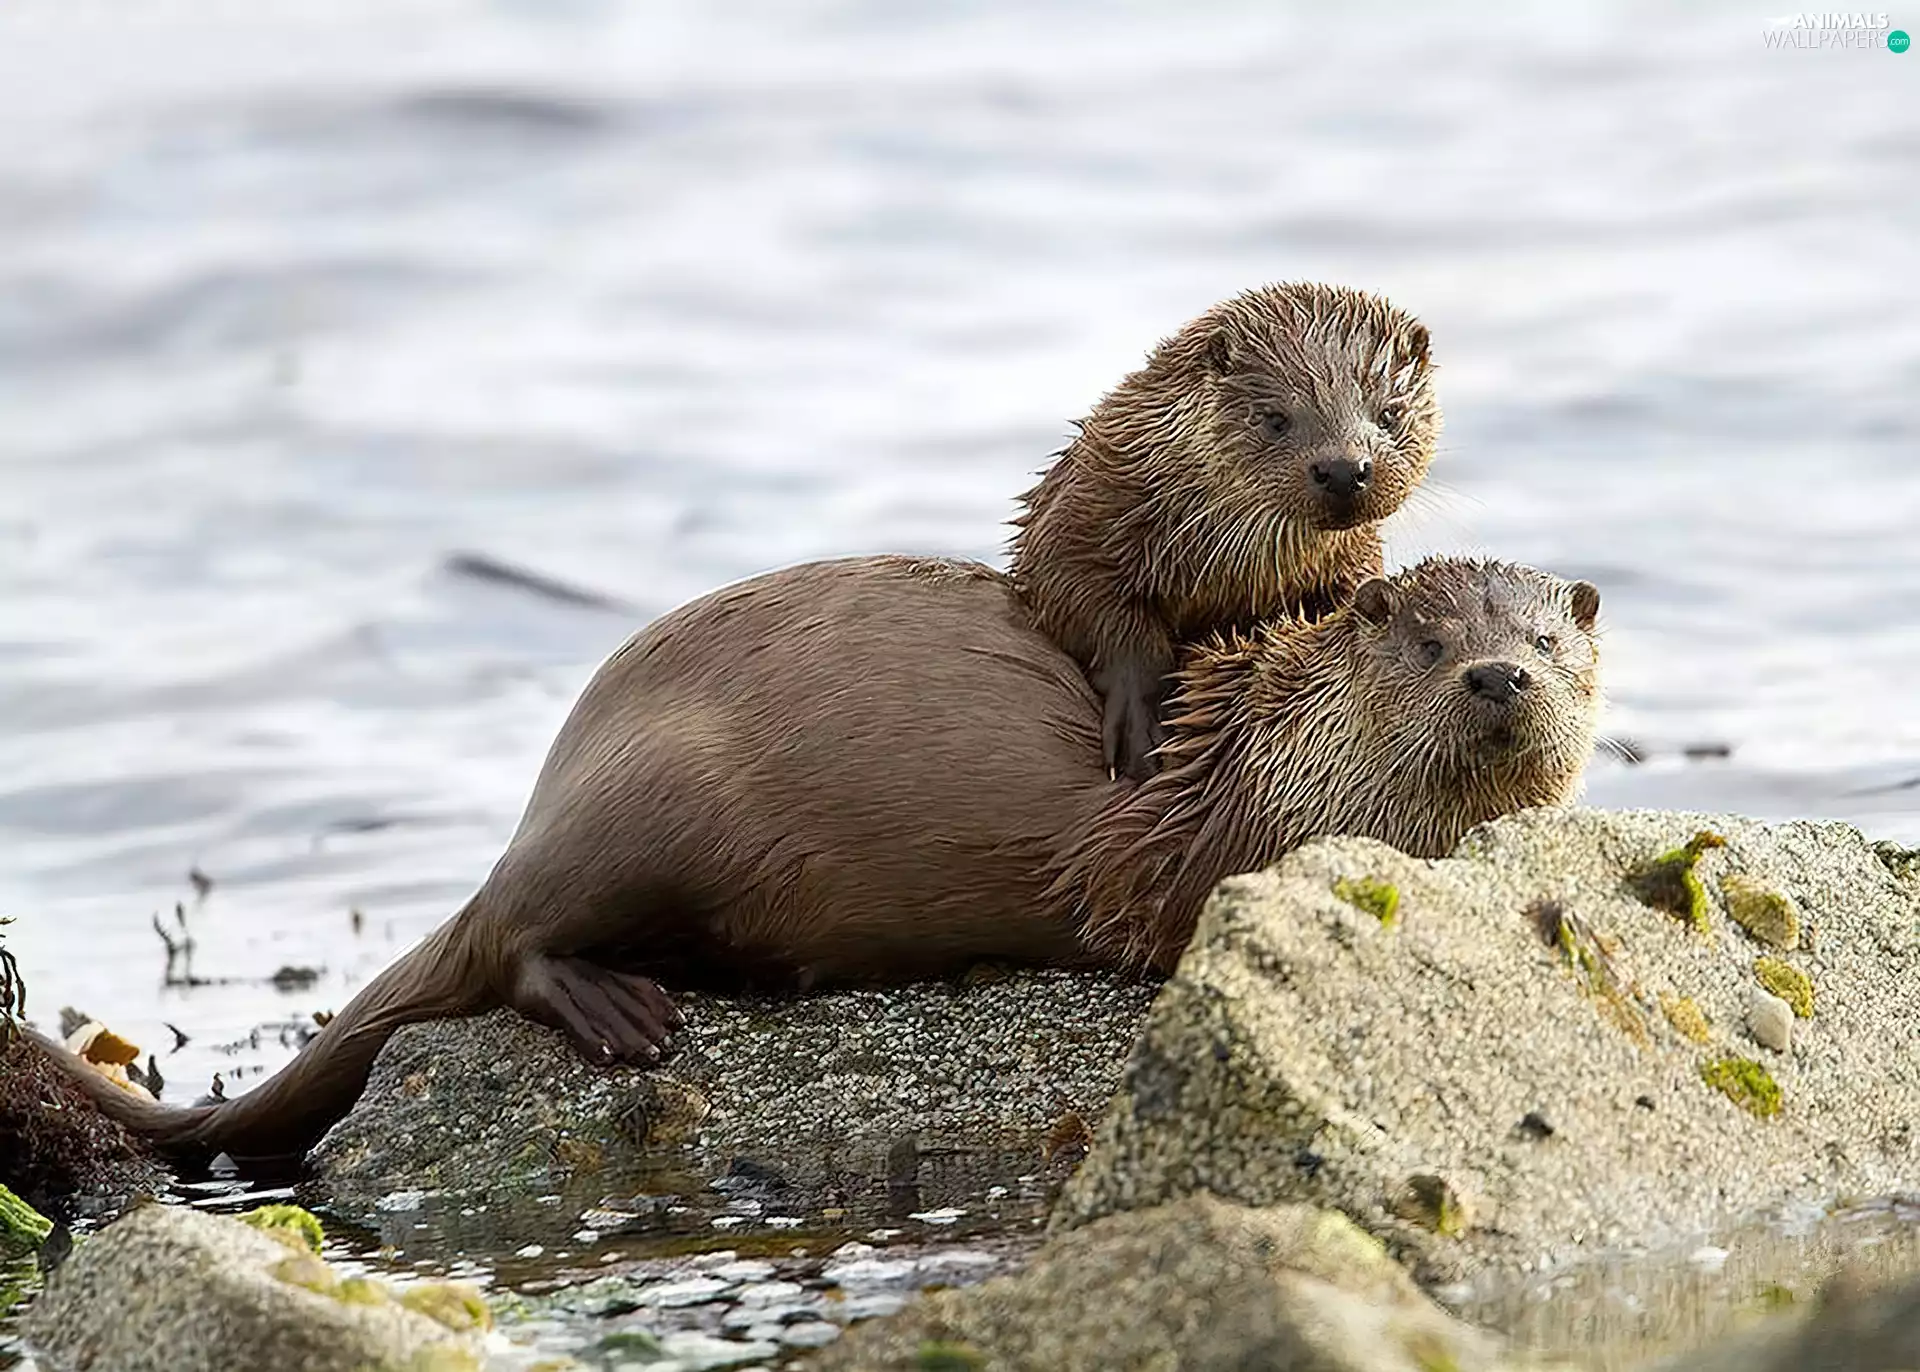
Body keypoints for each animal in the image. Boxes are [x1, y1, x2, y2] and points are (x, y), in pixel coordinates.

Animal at [42, 554, 1597, 1168]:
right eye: (1425, 642)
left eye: (1551, 636)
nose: (1501, 676)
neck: (1262, 753)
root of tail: (550, 789)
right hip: (648, 808)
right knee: (519, 938)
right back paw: (623, 1010)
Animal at [1010, 282, 1441, 782]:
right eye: (1275, 418)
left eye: (1390, 413)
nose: (1343, 469)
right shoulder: (1077, 522)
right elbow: (1094, 611)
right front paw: (1138, 723)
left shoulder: (1353, 558)